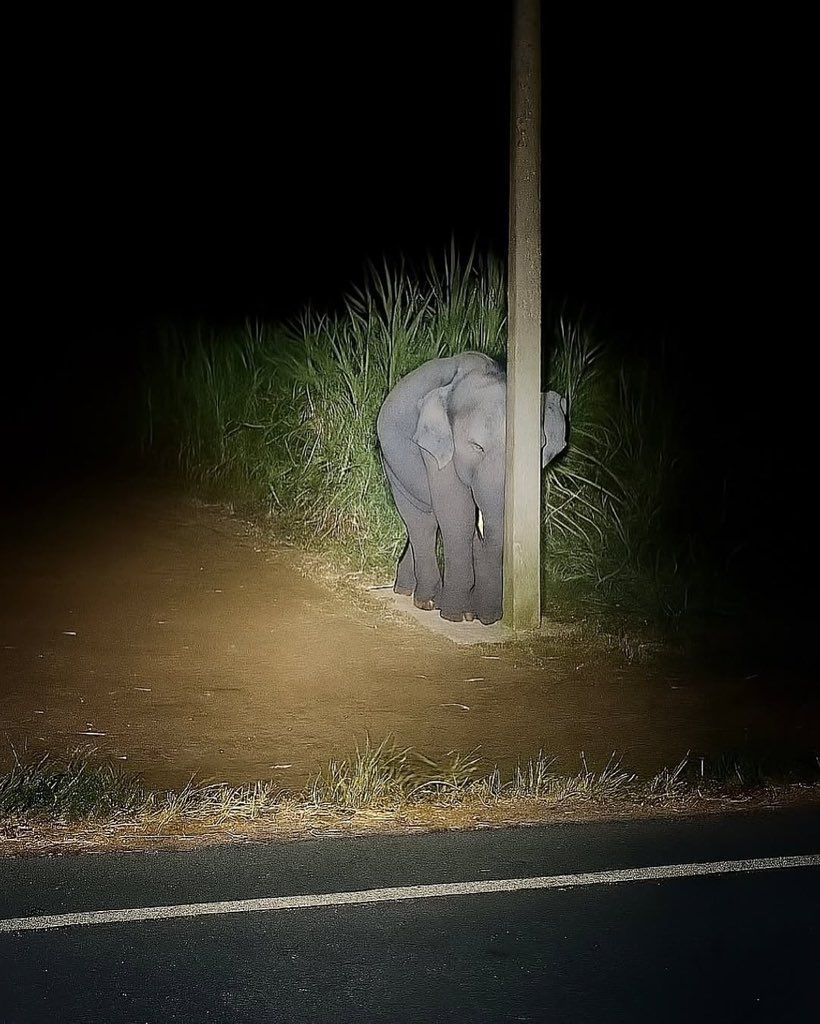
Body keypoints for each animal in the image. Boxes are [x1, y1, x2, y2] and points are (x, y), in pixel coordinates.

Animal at [376, 351, 568, 625]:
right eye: (477, 447)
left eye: (539, 447)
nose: (491, 618)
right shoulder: (437, 449)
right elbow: (459, 516)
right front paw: (455, 615)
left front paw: (476, 614)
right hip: (391, 463)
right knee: (422, 521)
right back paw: (426, 600)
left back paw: (410, 591)